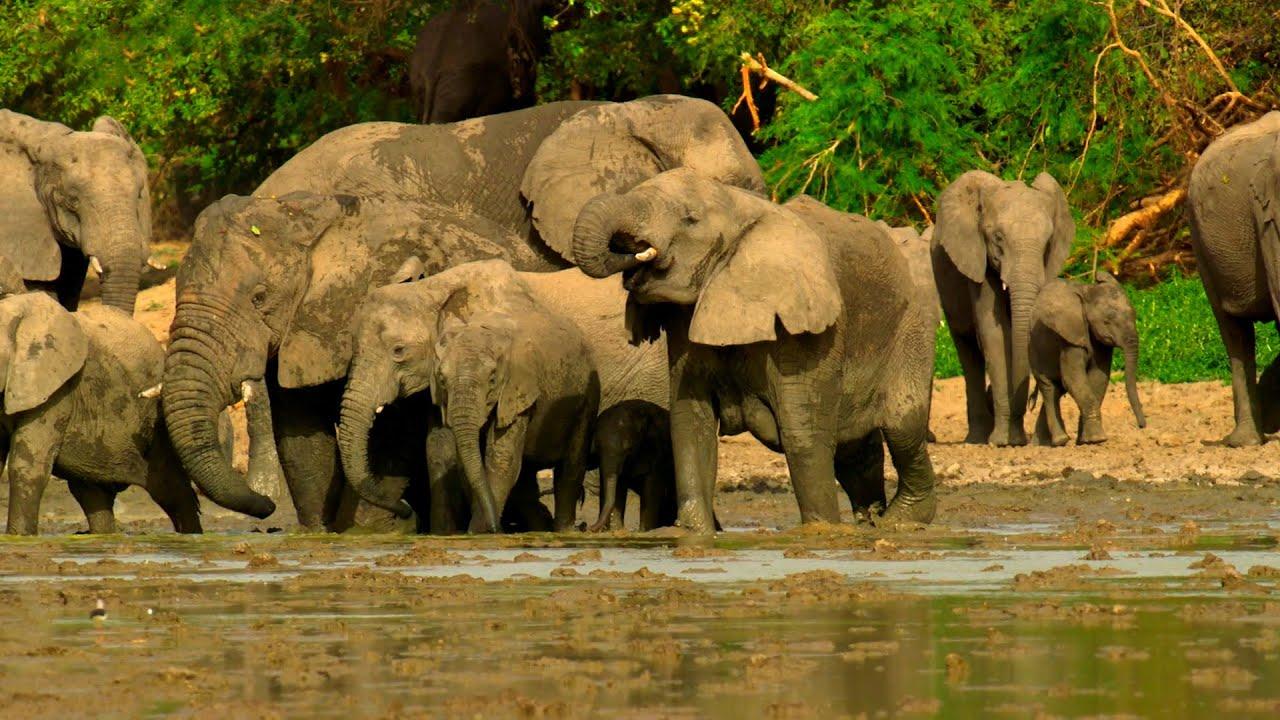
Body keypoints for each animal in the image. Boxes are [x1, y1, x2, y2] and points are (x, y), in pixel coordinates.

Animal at [588, 400, 677, 533]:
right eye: (597, 448)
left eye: (628, 449)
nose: (589, 527)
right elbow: (618, 487)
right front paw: (617, 530)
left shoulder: (657, 451)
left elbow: (651, 489)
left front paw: (644, 532)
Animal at [932, 170, 1075, 447]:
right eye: (998, 238)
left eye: (1047, 242)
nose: (1030, 402)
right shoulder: (978, 259)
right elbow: (995, 334)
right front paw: (1001, 441)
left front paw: (1018, 440)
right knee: (968, 350)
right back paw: (977, 439)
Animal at [1029, 272, 1146, 446]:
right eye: (1108, 320)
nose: (1141, 426)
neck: (1087, 293)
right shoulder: (1070, 337)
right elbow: (1074, 378)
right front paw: (1097, 439)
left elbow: (1098, 378)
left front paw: (1087, 441)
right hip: (1033, 350)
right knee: (1049, 388)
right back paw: (1059, 441)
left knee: (1057, 390)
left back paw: (1040, 443)